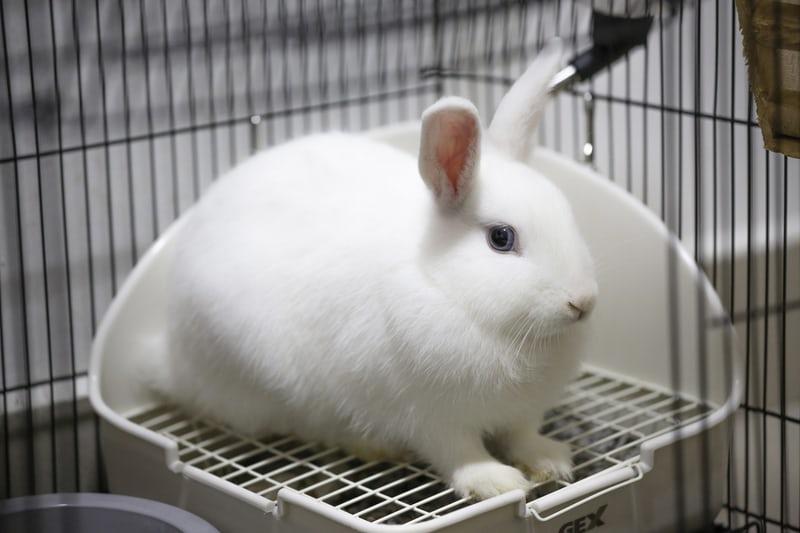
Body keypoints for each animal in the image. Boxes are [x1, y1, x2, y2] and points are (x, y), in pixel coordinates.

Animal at [157, 45, 598, 500]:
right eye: (501, 238)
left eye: (567, 214)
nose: (582, 302)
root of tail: (169, 360)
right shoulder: (428, 415)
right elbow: (459, 453)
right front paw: (493, 481)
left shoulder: (522, 411)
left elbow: (521, 436)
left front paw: (550, 460)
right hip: (264, 380)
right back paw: (372, 446)